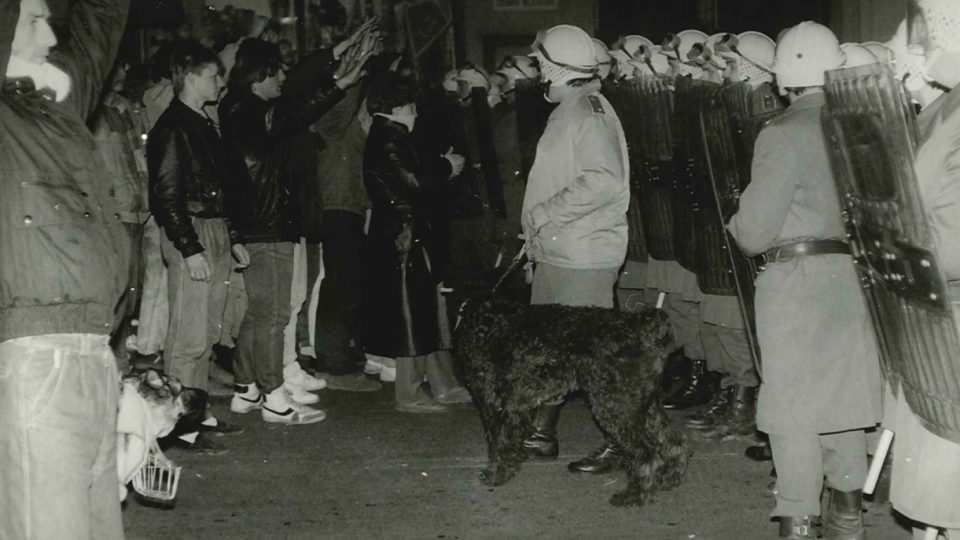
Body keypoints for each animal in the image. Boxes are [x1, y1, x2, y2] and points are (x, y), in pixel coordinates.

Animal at [456, 298, 688, 508]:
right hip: (644, 404)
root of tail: (638, 324)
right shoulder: (511, 406)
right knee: (672, 443)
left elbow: (498, 444)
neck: (485, 325)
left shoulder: (496, 404)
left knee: (646, 453)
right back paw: (668, 479)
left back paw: (635, 495)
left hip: (615, 405)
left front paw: (495, 475)